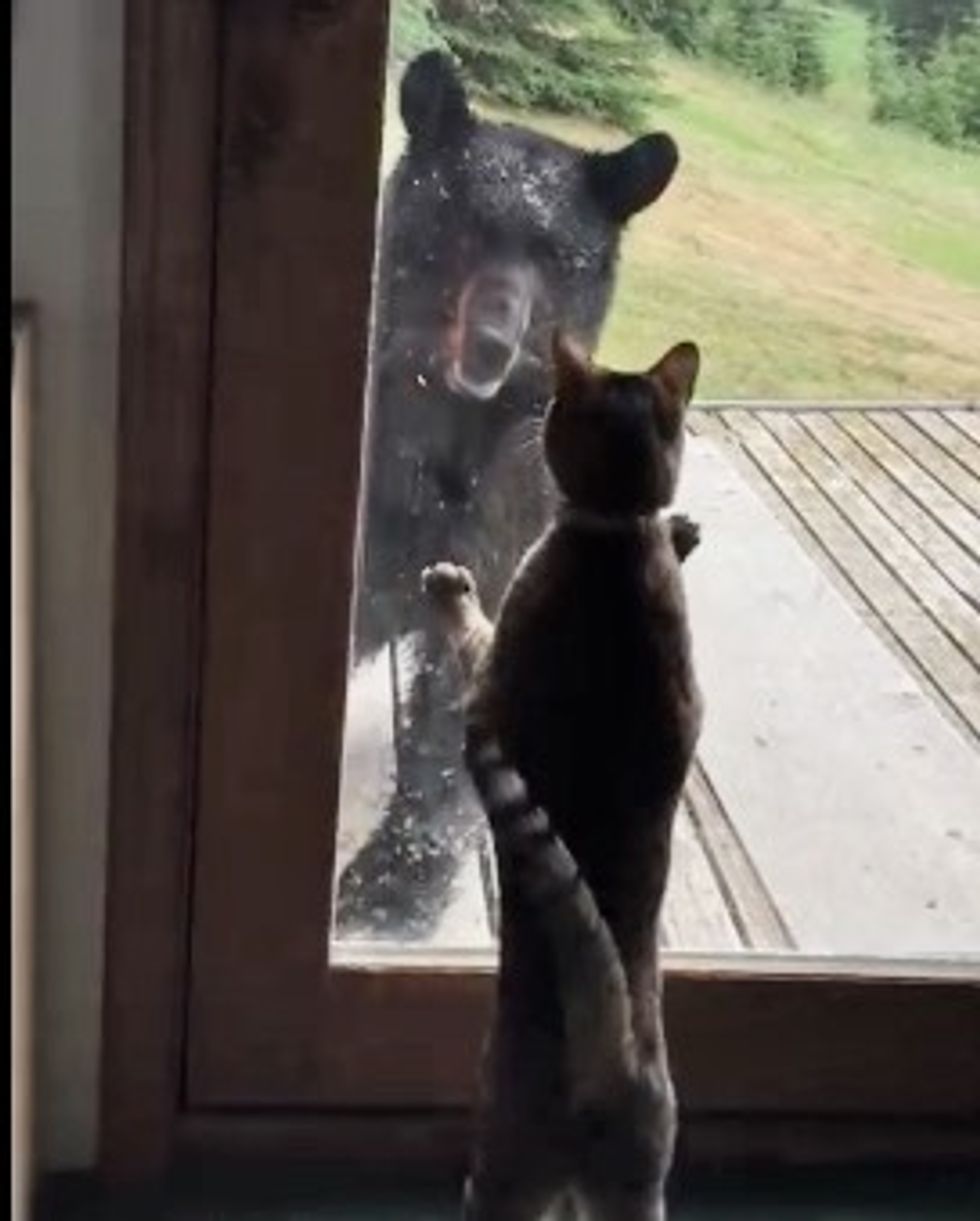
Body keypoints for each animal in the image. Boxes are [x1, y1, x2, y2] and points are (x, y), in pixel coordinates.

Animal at [334, 50, 678, 932]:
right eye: (465, 223)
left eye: (558, 256)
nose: (492, 343)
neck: (461, 424)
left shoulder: (510, 516)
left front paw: (393, 885)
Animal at [424, 334, 702, 1221]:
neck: (614, 531)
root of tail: (609, 1059)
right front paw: (680, 530)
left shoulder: (489, 680)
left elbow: (469, 628)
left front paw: (450, 588)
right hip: (635, 1186)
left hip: (504, 1168)